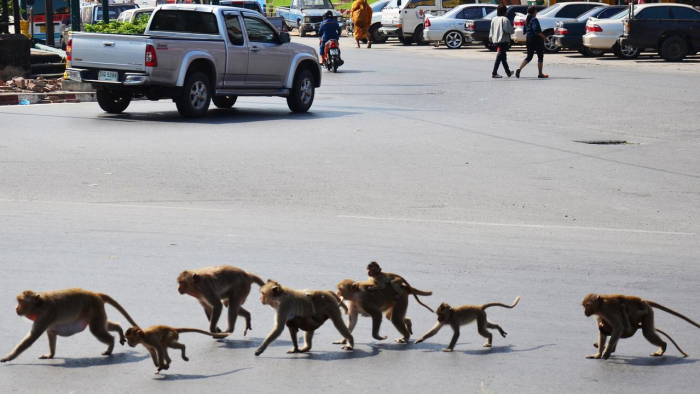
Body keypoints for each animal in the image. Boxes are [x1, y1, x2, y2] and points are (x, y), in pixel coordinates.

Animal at [0, 286, 139, 364]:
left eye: (21, 302)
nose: (16, 308)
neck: (40, 305)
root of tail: (95, 294)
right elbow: (51, 333)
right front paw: (51, 354)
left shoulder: (45, 315)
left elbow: (31, 337)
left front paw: (8, 357)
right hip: (97, 311)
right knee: (103, 325)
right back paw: (119, 330)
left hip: (95, 309)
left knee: (96, 329)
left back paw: (110, 346)